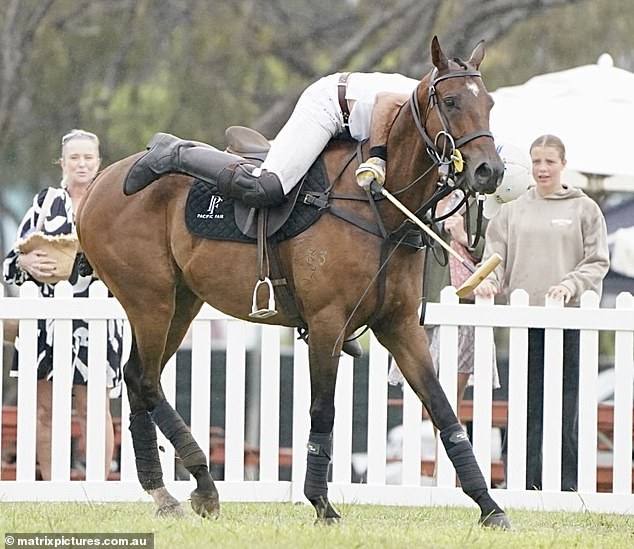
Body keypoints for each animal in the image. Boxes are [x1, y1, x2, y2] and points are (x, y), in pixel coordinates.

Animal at [75, 37, 508, 528]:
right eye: (451, 102)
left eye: (490, 104)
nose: (490, 172)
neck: (382, 210)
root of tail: (100, 183)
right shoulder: (326, 323)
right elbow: (323, 410)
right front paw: (322, 504)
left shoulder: (398, 326)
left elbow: (443, 410)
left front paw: (490, 507)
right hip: (150, 300)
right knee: (145, 380)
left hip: (180, 302)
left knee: (138, 378)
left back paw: (166, 492)